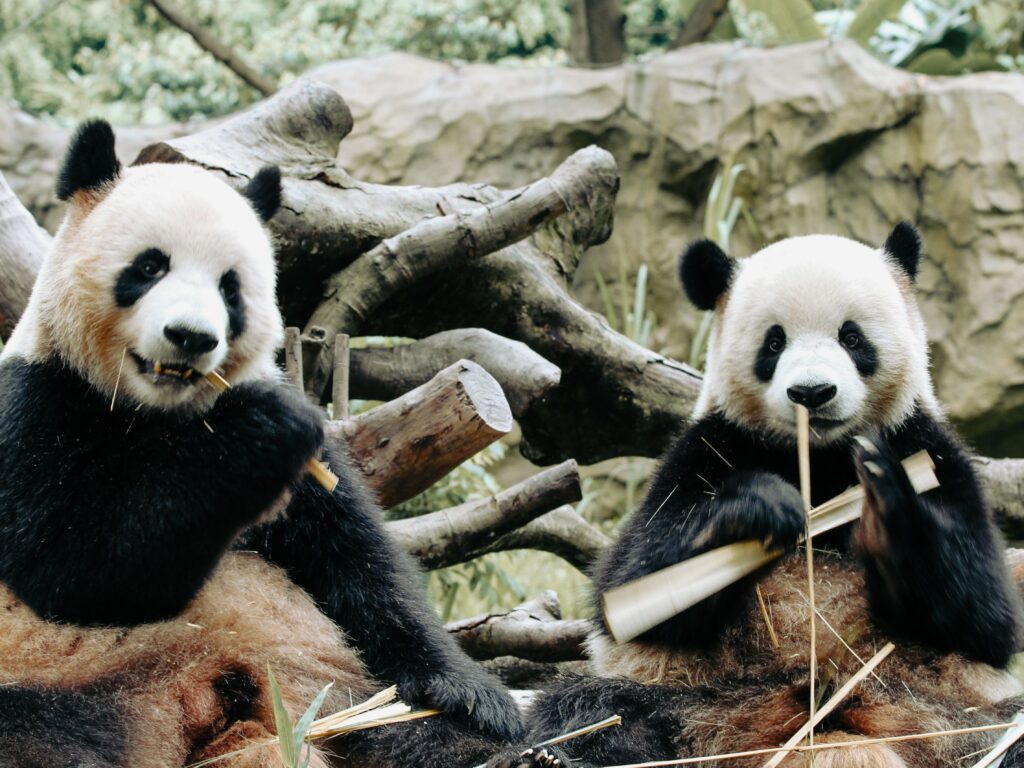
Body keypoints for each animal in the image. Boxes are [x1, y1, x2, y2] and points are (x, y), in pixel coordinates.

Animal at [0, 120, 523, 768]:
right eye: (149, 267)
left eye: (231, 288)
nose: (191, 338)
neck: (159, 415)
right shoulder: (37, 404)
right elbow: (72, 571)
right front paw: (261, 432)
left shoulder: (310, 478)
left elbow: (358, 565)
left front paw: (473, 694)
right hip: (59, 677)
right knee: (46, 733)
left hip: (330, 692)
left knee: (398, 729)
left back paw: (517, 753)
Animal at [489, 225, 1024, 768]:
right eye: (774, 341)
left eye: (851, 337)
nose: (812, 393)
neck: (819, 459)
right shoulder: (706, 450)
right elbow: (632, 583)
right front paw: (760, 507)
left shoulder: (929, 450)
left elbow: (986, 615)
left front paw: (885, 510)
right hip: (693, 699)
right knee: (594, 709)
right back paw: (548, 755)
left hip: (941, 711)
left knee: (1005, 725)